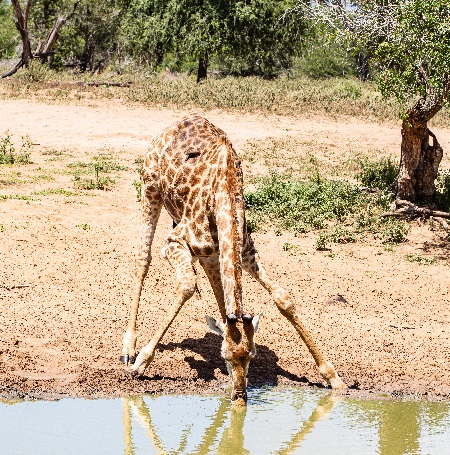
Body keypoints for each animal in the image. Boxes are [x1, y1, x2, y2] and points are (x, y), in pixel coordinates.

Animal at [119, 115, 344, 406]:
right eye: (225, 356)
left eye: (252, 356)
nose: (239, 397)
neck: (225, 193)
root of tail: (178, 121)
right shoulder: (174, 243)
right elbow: (187, 286)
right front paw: (141, 364)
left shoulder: (246, 251)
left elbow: (283, 298)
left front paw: (333, 377)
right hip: (150, 188)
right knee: (142, 258)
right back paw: (128, 349)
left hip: (208, 246)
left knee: (215, 283)